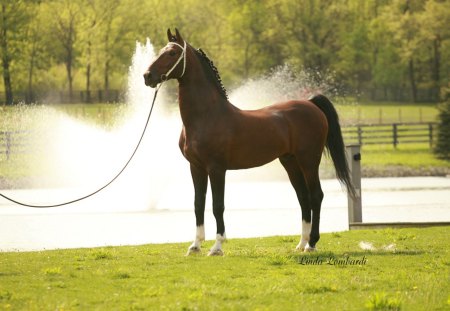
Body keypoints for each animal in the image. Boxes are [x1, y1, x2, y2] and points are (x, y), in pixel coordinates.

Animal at [143, 29, 352, 258]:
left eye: (172, 53)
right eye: (162, 50)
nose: (147, 76)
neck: (207, 115)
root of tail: (310, 104)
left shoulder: (216, 168)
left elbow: (218, 205)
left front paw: (217, 247)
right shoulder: (196, 167)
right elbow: (198, 204)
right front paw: (195, 246)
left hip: (309, 161)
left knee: (316, 196)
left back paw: (311, 243)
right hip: (290, 162)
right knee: (303, 197)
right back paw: (301, 243)